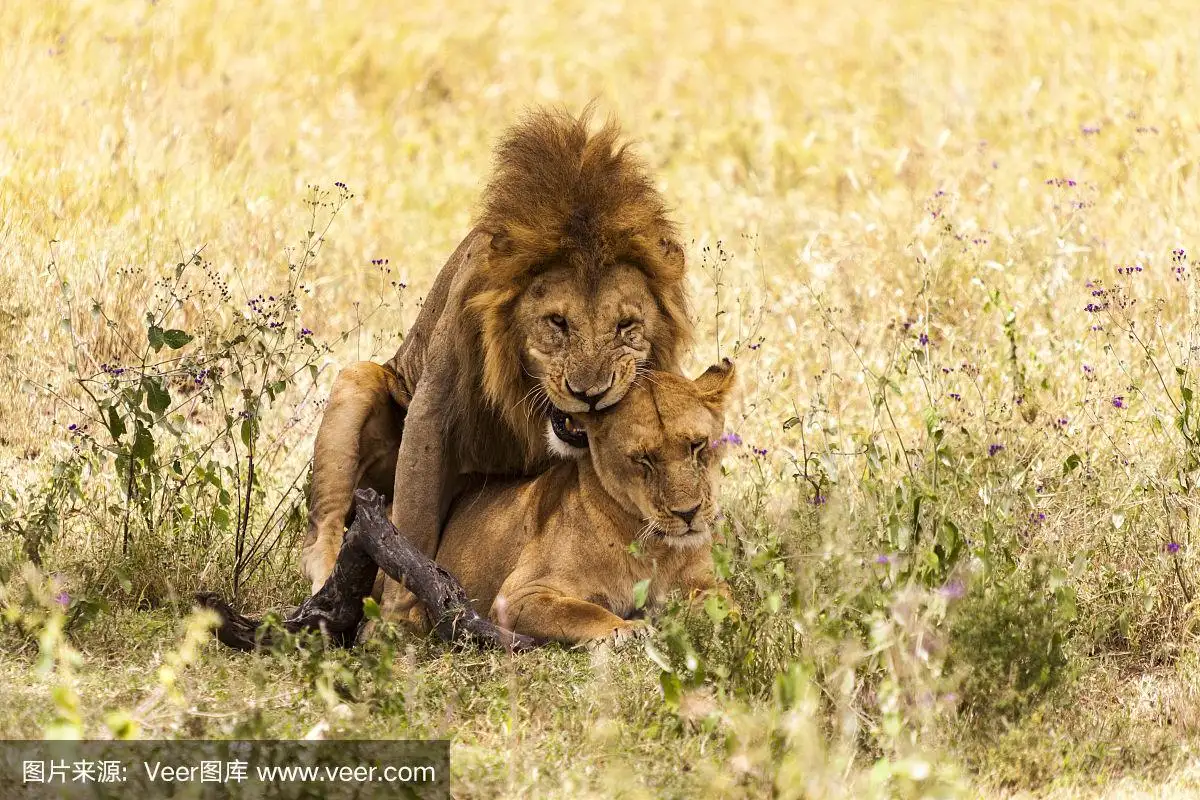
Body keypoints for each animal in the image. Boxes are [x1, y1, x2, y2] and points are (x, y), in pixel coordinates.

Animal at [300, 110, 696, 623]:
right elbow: (412, 525)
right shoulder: (432, 412)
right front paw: (399, 619)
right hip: (359, 380)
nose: (590, 394)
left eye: (626, 326)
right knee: (323, 528)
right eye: (557, 322)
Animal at [432, 362, 729, 642]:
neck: (653, 549)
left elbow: (725, 607)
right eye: (643, 459)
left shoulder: (706, 582)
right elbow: (580, 611)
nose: (688, 513)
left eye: (697, 444)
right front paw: (628, 629)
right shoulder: (518, 595)